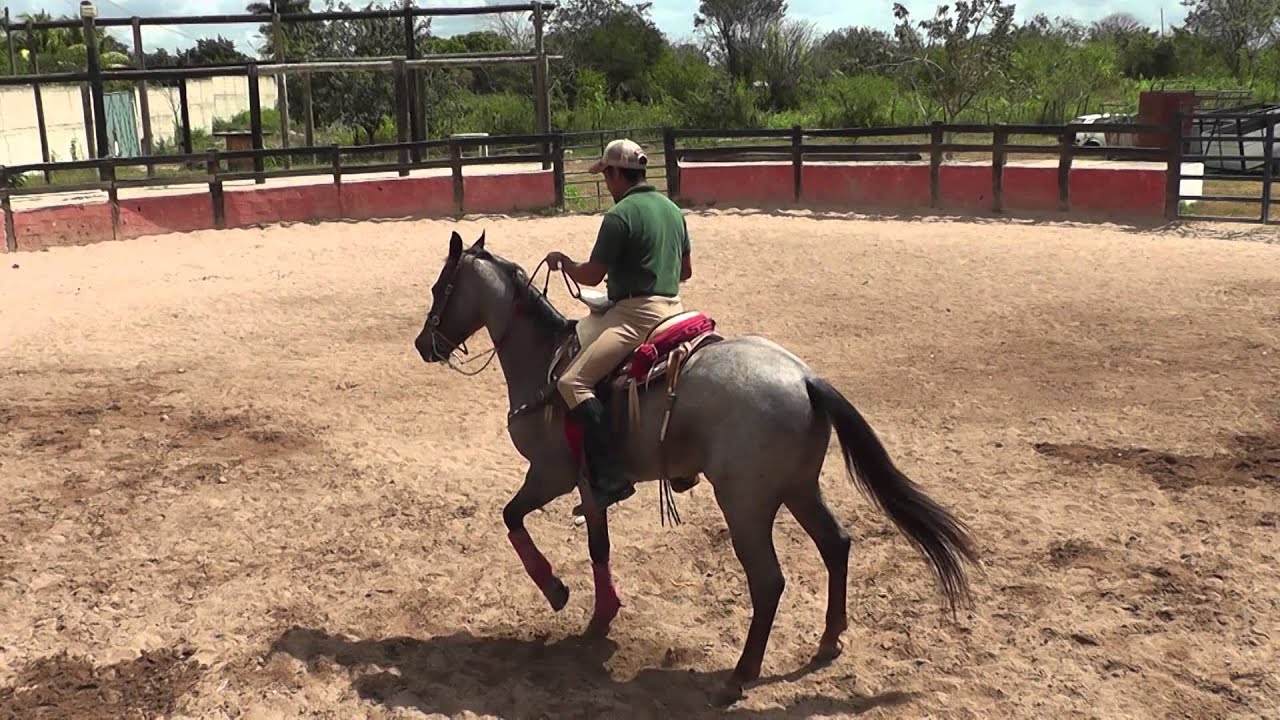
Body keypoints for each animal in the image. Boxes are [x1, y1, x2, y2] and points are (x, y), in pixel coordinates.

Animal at [413, 229, 979, 708]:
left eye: (441, 287)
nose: (423, 345)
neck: (549, 367)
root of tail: (804, 377)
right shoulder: (585, 487)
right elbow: (592, 545)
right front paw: (597, 612)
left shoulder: (553, 476)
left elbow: (523, 522)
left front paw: (563, 595)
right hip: (799, 489)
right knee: (836, 545)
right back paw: (829, 639)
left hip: (745, 505)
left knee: (768, 582)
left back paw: (739, 677)